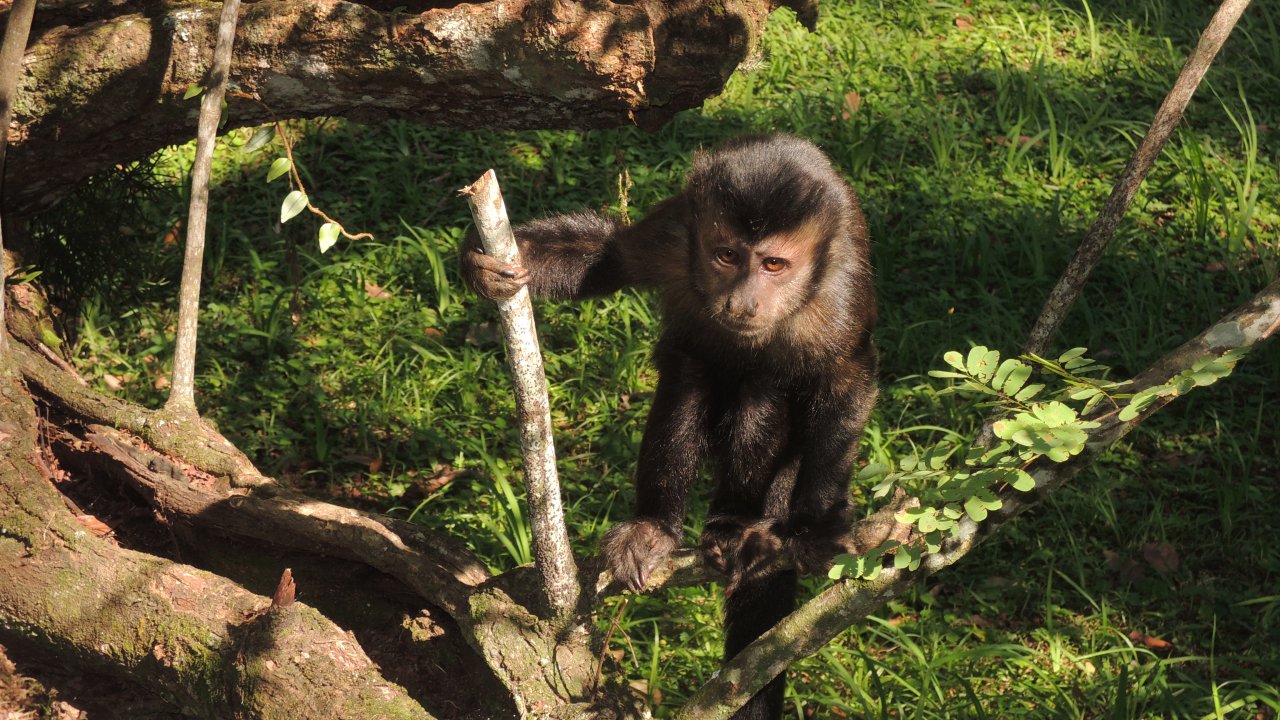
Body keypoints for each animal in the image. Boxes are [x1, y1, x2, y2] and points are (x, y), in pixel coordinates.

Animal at [463, 133, 877, 720]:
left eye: (774, 264)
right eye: (726, 256)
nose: (742, 299)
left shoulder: (837, 295)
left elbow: (847, 381)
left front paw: (818, 525)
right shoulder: (677, 230)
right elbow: (612, 257)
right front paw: (487, 262)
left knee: (762, 390)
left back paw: (733, 526)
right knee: (688, 371)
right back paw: (655, 528)